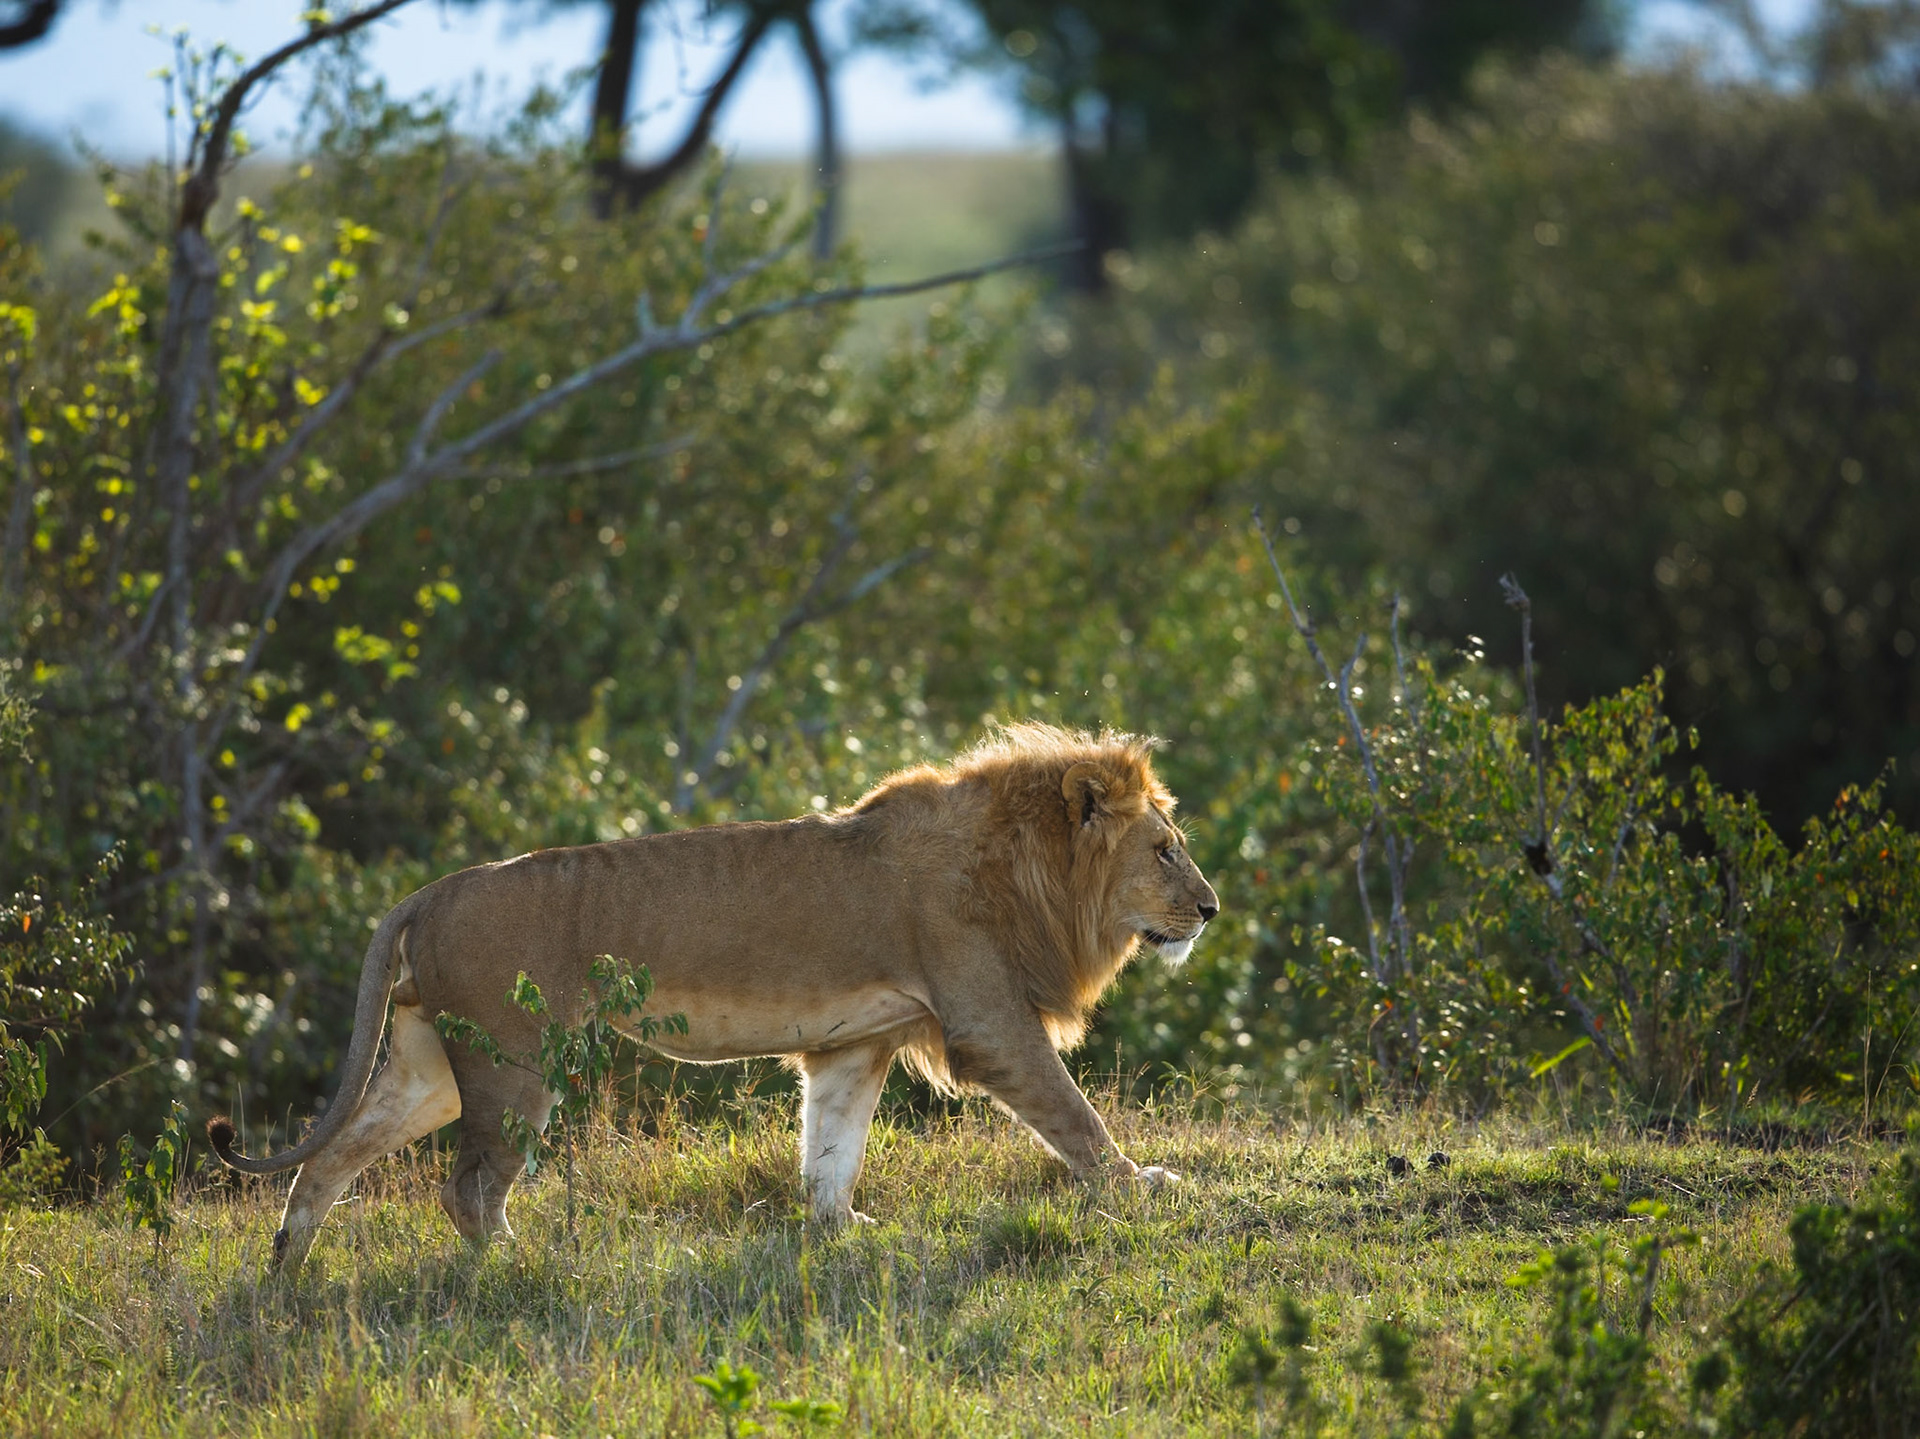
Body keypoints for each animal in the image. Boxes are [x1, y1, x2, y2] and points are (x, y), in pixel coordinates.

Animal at [207, 722, 1220, 1273]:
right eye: (1165, 848)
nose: (1212, 908)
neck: (1023, 866)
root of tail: (432, 889)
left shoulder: (857, 1043)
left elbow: (831, 1149)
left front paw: (843, 1232)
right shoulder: (987, 1020)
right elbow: (1074, 1112)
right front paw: (1142, 1185)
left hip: (431, 1066)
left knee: (329, 1158)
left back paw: (286, 1274)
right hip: (513, 1061)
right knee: (467, 1190)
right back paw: (519, 1266)